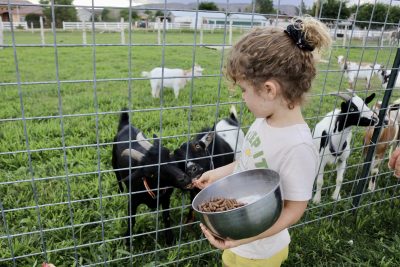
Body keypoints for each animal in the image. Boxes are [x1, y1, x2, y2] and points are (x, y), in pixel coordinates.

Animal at [111, 110, 193, 246]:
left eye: (169, 155)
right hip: (114, 161)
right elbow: (131, 220)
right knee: (117, 176)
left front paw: (170, 241)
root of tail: (125, 125)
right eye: (152, 173)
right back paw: (121, 191)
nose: (184, 179)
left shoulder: (166, 198)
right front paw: (127, 242)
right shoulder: (132, 201)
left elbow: (166, 217)